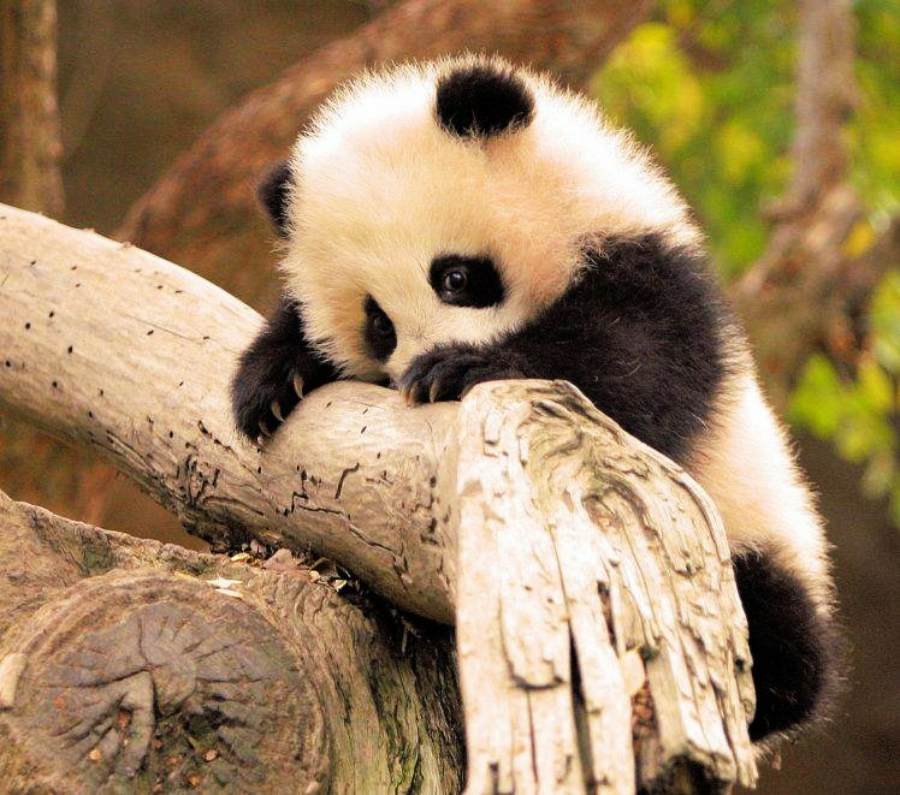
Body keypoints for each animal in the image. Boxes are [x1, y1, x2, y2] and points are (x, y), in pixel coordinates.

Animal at [231, 55, 843, 749]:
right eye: (378, 324)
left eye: (456, 277)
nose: (415, 364)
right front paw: (273, 381)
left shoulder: (655, 282)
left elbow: (627, 371)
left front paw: (460, 368)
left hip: (749, 528)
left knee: (781, 636)